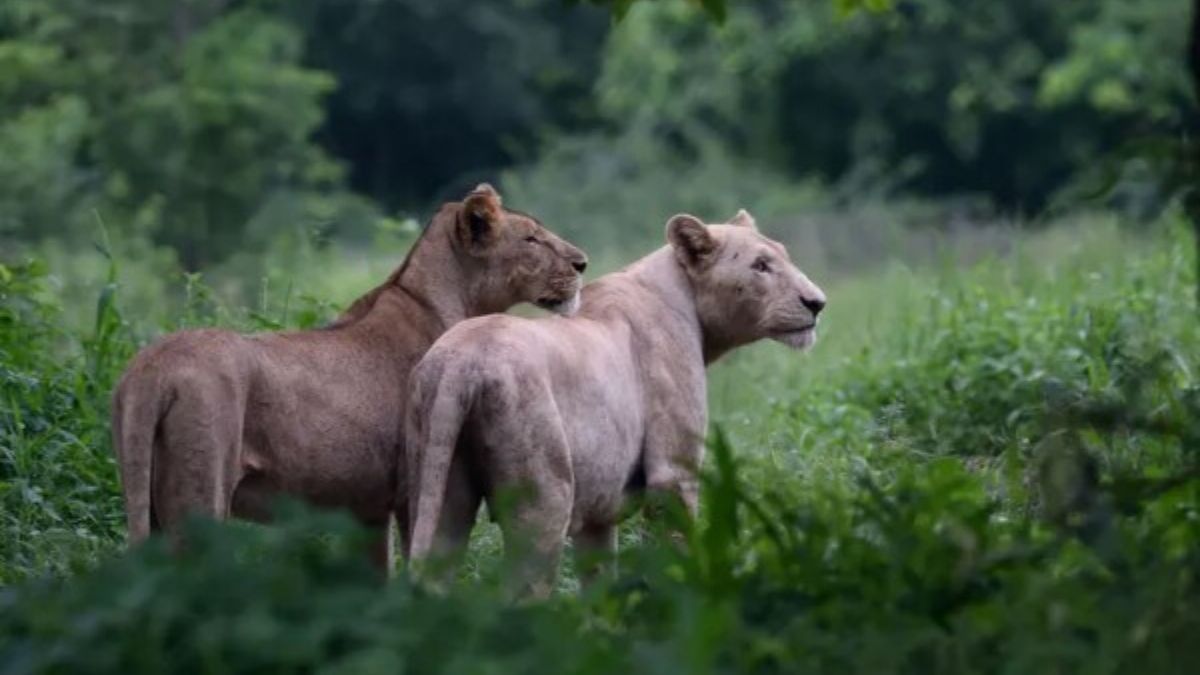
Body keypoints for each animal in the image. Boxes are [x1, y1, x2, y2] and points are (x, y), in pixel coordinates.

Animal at [111, 184, 587, 570]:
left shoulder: (367, 509)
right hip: (202, 495)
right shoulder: (415, 489)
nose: (583, 263)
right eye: (531, 239)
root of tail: (150, 369)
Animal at [404, 209, 825, 595]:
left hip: (440, 487)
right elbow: (672, 553)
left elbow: (601, 581)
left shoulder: (598, 511)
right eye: (760, 265)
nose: (817, 303)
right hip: (544, 495)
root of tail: (459, 364)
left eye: (783, 256)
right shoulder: (672, 473)